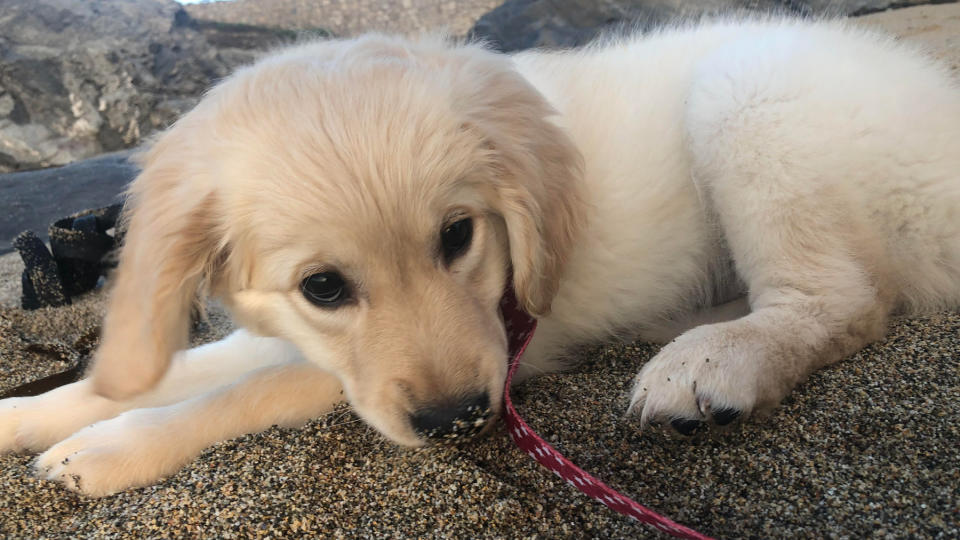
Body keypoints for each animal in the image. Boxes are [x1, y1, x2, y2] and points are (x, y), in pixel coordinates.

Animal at [1, 19, 960, 496]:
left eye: (457, 236)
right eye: (323, 287)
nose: (461, 419)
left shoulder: (491, 350)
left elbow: (241, 395)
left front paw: (107, 451)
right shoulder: (308, 342)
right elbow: (183, 370)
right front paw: (35, 417)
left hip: (748, 92)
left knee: (842, 301)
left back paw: (711, 360)